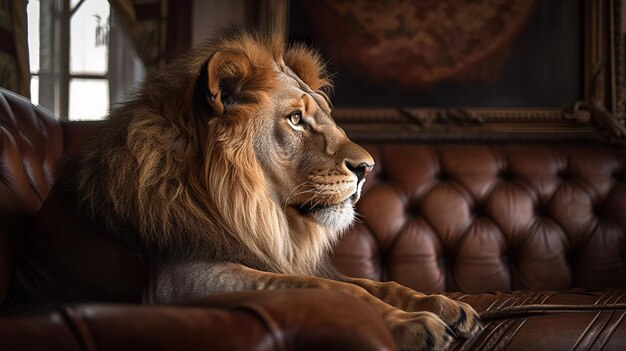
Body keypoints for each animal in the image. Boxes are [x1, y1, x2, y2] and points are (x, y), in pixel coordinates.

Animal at [18, 28, 478, 350]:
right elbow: (336, 290)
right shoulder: (181, 282)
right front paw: (414, 324)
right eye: (295, 120)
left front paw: (445, 305)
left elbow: (374, 284)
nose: (368, 168)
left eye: (324, 116)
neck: (258, 214)